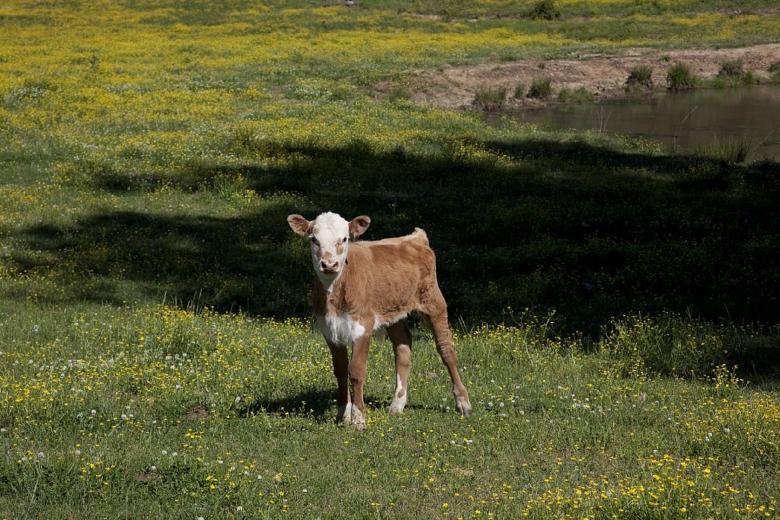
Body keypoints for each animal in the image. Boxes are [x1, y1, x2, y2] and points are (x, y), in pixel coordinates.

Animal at [287, 211, 472, 429]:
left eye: (345, 238)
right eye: (313, 239)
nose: (329, 264)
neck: (335, 292)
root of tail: (415, 238)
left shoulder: (362, 326)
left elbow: (356, 371)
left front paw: (358, 419)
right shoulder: (329, 329)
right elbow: (340, 370)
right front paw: (342, 415)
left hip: (434, 301)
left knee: (446, 350)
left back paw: (463, 402)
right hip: (393, 312)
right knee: (403, 347)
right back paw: (397, 404)